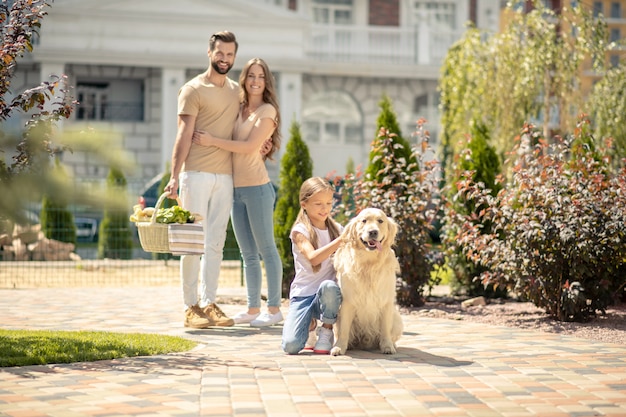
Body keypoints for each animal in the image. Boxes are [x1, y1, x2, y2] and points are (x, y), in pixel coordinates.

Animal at [330, 208, 402, 354]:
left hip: (397, 318)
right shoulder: (348, 301)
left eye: (380, 221)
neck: (369, 264)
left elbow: (385, 329)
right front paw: (339, 347)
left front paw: (387, 346)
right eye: (363, 221)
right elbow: (344, 330)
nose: (373, 232)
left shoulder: (386, 301)